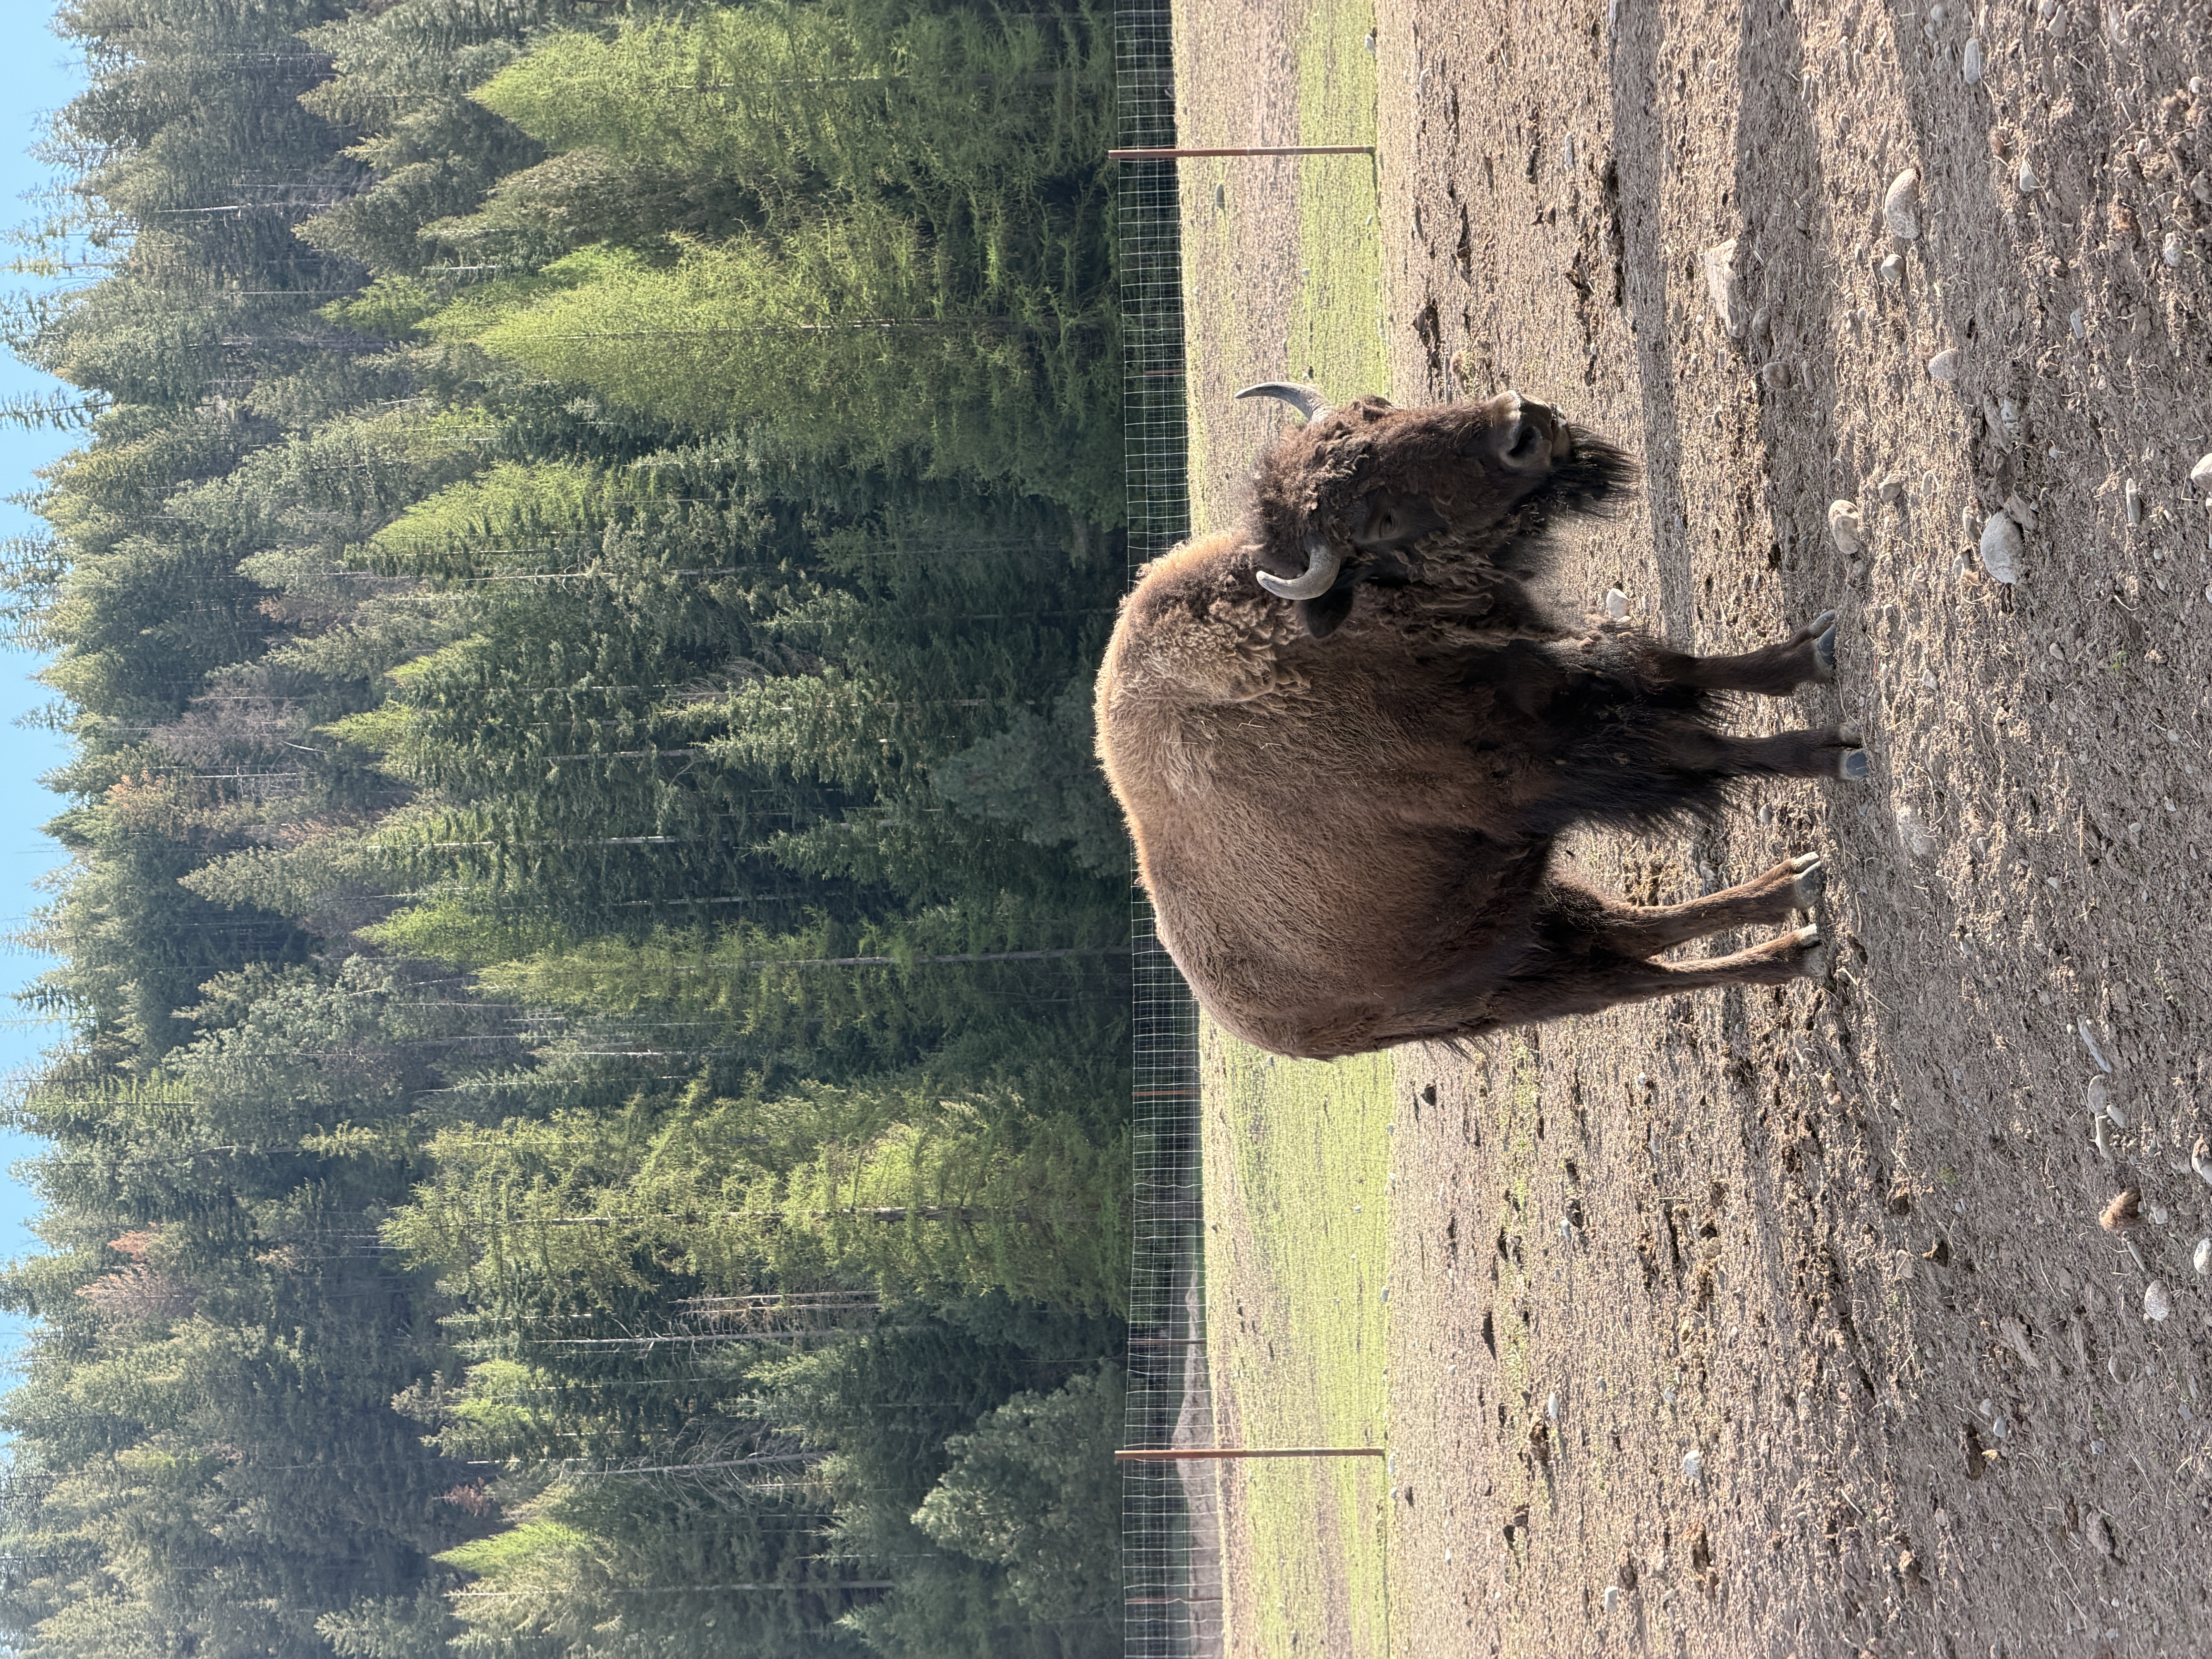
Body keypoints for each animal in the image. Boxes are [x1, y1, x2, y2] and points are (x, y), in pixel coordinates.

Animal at [1094, 385, 1861, 1060]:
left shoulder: (1568, 671)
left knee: (1630, 936)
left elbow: (1681, 667)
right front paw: (1836, 752)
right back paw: (1794, 933)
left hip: (1520, 917)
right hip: (1497, 987)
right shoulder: (1550, 771)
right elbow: (1705, 748)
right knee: (1626, 975)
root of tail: (1257, 1027)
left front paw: (1811, 654)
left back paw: (1790, 899)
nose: (1523, 423)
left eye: (1377, 410)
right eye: (1380, 521)